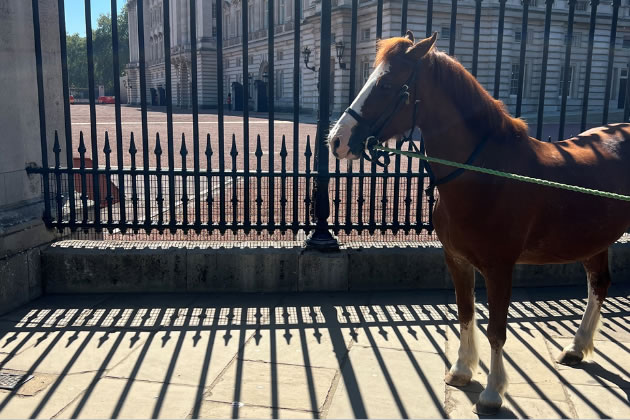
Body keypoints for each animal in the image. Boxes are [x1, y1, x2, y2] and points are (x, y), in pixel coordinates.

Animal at [328, 31, 630, 416]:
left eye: (387, 84)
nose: (337, 140)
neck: (485, 173)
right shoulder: (456, 260)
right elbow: (466, 313)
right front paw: (461, 370)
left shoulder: (500, 267)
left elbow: (496, 328)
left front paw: (491, 393)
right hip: (594, 238)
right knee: (599, 284)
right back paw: (577, 347)